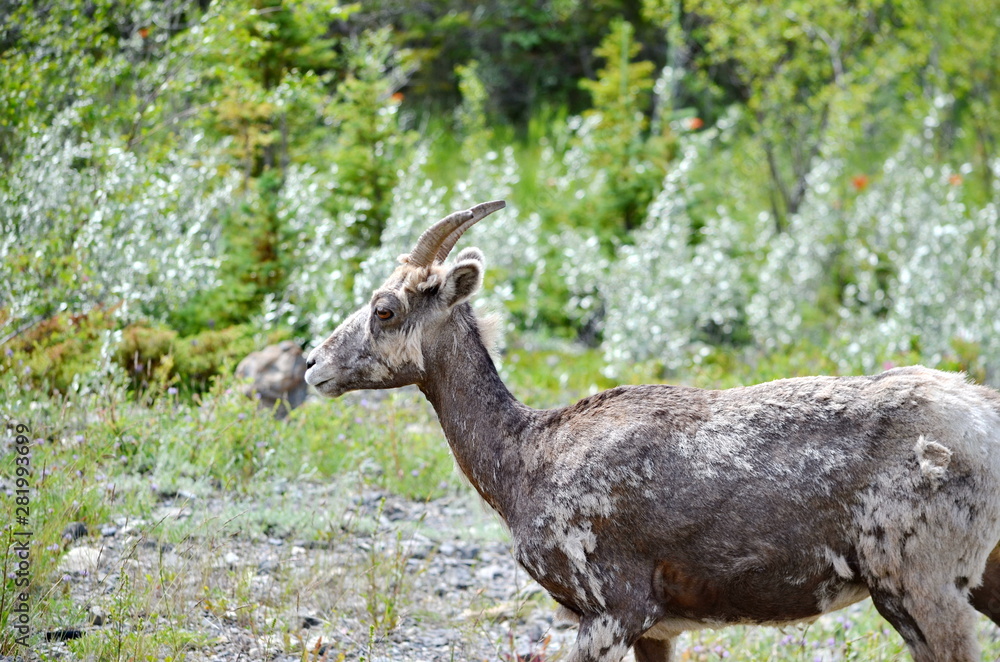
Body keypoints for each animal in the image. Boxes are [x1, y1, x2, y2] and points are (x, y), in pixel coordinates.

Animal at [305, 200, 1000, 662]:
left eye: (384, 309)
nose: (313, 364)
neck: (524, 461)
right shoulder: (657, 628)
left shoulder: (611, 606)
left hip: (920, 582)